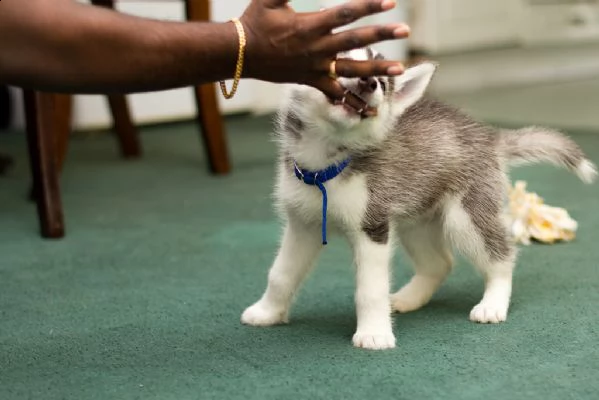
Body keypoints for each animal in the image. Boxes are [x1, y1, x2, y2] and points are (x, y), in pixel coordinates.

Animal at [241, 47, 596, 350]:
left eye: (384, 82)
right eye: (344, 63)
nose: (370, 82)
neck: (324, 164)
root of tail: (488, 134)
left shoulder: (373, 228)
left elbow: (370, 289)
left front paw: (374, 334)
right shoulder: (302, 224)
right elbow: (280, 273)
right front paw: (266, 312)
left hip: (465, 218)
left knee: (502, 257)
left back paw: (493, 302)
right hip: (415, 222)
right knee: (439, 263)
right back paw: (408, 298)